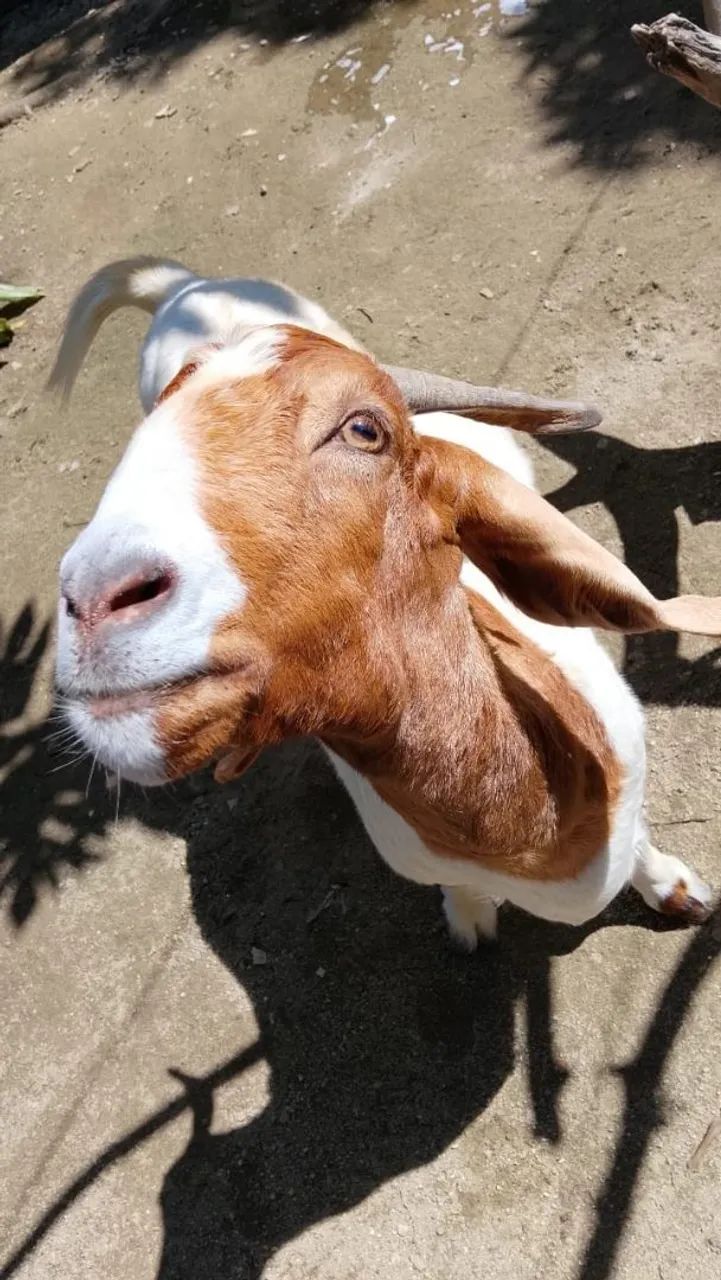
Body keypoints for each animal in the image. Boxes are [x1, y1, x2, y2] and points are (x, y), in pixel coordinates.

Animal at [51, 256, 721, 946]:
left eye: (365, 429)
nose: (93, 598)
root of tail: (185, 286)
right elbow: (457, 889)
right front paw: (470, 920)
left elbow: (640, 841)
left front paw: (675, 890)